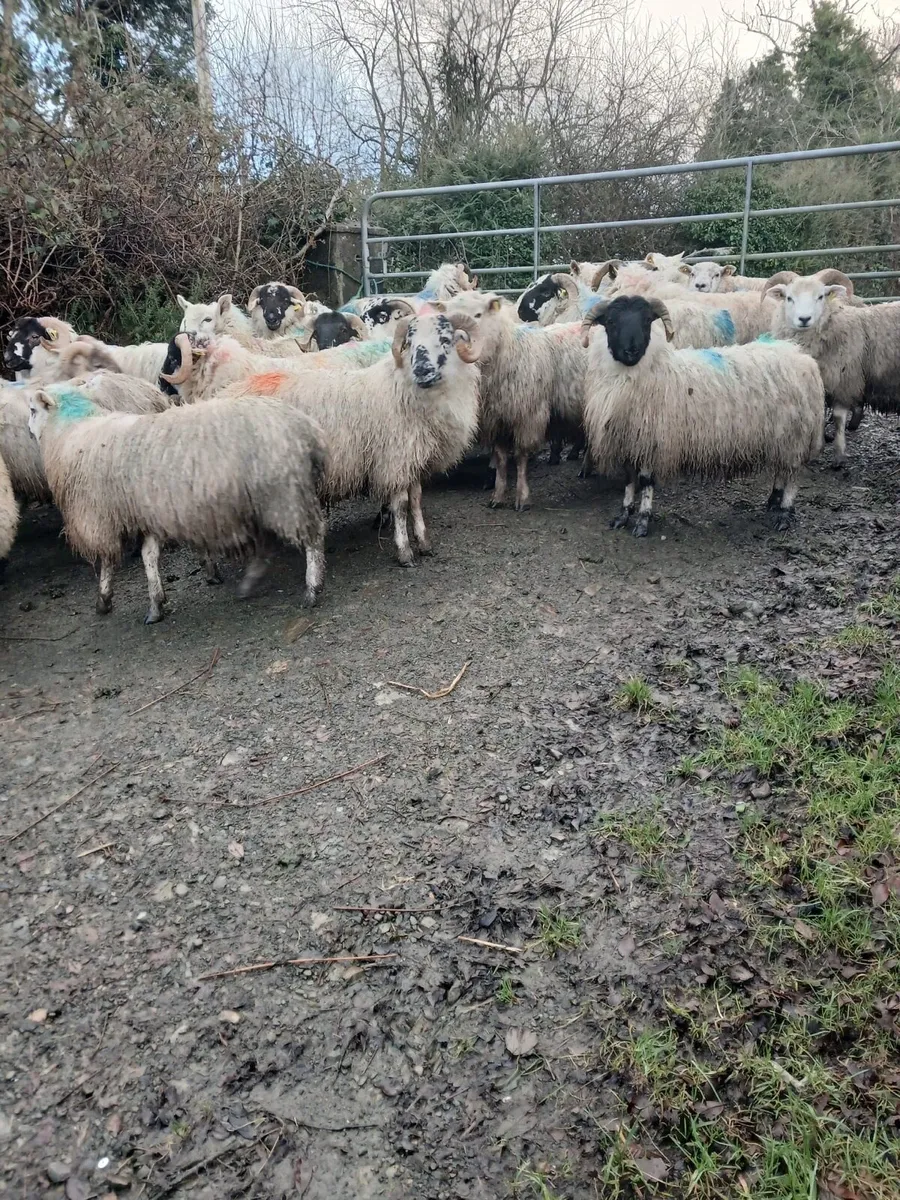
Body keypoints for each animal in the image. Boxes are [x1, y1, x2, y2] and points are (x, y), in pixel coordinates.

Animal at [28, 387, 329, 623]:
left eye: (31, 409)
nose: (28, 432)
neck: (72, 431)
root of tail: (306, 428)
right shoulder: (148, 513)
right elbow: (149, 556)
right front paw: (156, 603)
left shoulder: (99, 517)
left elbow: (107, 562)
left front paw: (104, 600)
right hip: (262, 502)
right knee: (267, 543)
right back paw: (250, 582)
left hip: (285, 496)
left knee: (313, 537)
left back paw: (312, 588)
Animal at [201, 311, 482, 567]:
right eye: (409, 342)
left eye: (445, 339)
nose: (422, 370)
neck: (402, 389)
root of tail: (224, 395)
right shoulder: (394, 460)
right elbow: (401, 506)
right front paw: (405, 553)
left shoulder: (413, 458)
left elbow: (416, 501)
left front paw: (424, 543)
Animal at [580, 295, 824, 536]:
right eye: (611, 321)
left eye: (647, 320)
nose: (632, 350)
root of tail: (803, 358)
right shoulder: (628, 440)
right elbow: (629, 479)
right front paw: (623, 515)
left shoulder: (651, 440)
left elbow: (645, 481)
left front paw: (642, 521)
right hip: (783, 436)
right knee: (782, 469)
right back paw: (774, 500)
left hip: (796, 433)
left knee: (792, 474)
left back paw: (784, 513)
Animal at [765, 269, 900, 466]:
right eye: (789, 298)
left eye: (821, 296)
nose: (804, 319)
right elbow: (820, 414)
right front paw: (819, 447)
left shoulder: (845, 380)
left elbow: (838, 417)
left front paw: (839, 454)